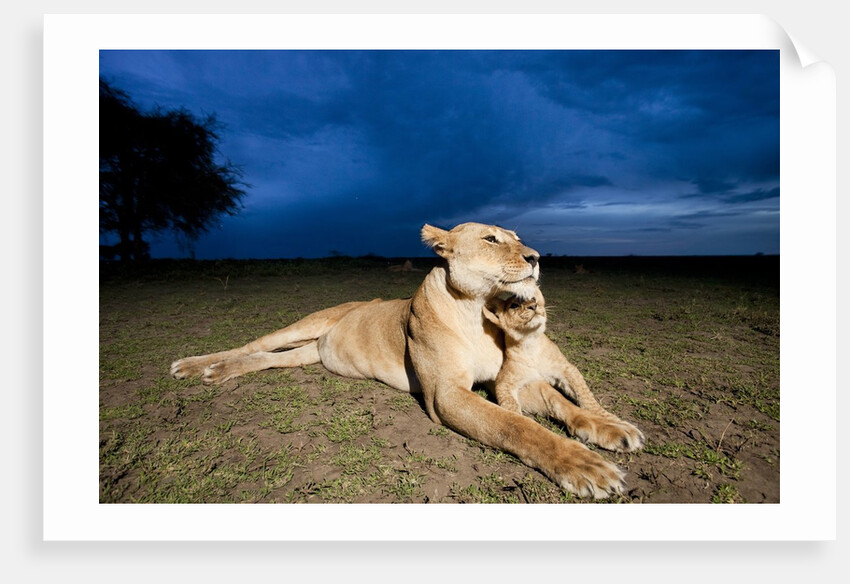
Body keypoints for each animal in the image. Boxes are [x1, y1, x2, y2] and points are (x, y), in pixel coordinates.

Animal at [171, 222, 626, 498]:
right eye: (491, 239)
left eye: (516, 236)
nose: (535, 257)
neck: (476, 310)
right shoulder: (445, 395)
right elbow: (516, 426)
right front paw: (583, 465)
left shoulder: (501, 381)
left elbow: (559, 401)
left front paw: (611, 428)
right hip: (305, 324)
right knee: (253, 345)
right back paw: (197, 366)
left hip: (304, 355)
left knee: (265, 359)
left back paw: (219, 372)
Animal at [482, 288, 645, 452]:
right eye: (514, 305)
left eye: (533, 299)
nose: (534, 306)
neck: (530, 342)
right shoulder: (506, 382)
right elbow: (510, 406)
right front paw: (520, 421)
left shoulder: (566, 369)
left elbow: (586, 397)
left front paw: (610, 419)